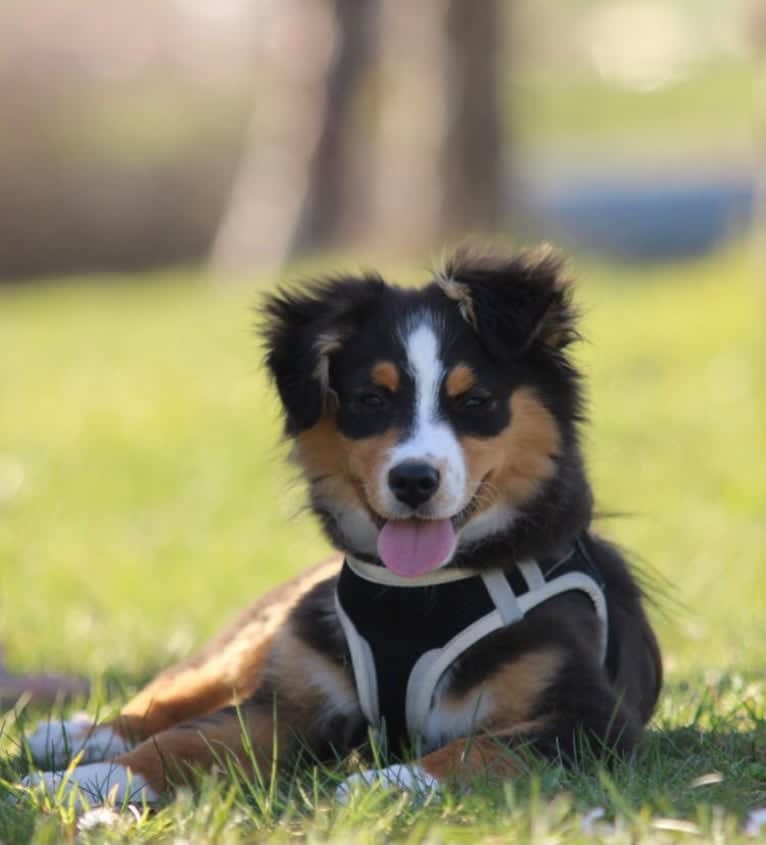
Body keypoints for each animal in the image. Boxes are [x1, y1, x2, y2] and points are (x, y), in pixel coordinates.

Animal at [21, 244, 664, 804]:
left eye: (475, 401)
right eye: (370, 400)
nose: (413, 480)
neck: (420, 595)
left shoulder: (588, 721)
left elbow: (475, 750)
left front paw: (386, 784)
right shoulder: (293, 702)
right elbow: (191, 738)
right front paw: (89, 781)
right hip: (277, 625)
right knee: (184, 689)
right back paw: (75, 736)